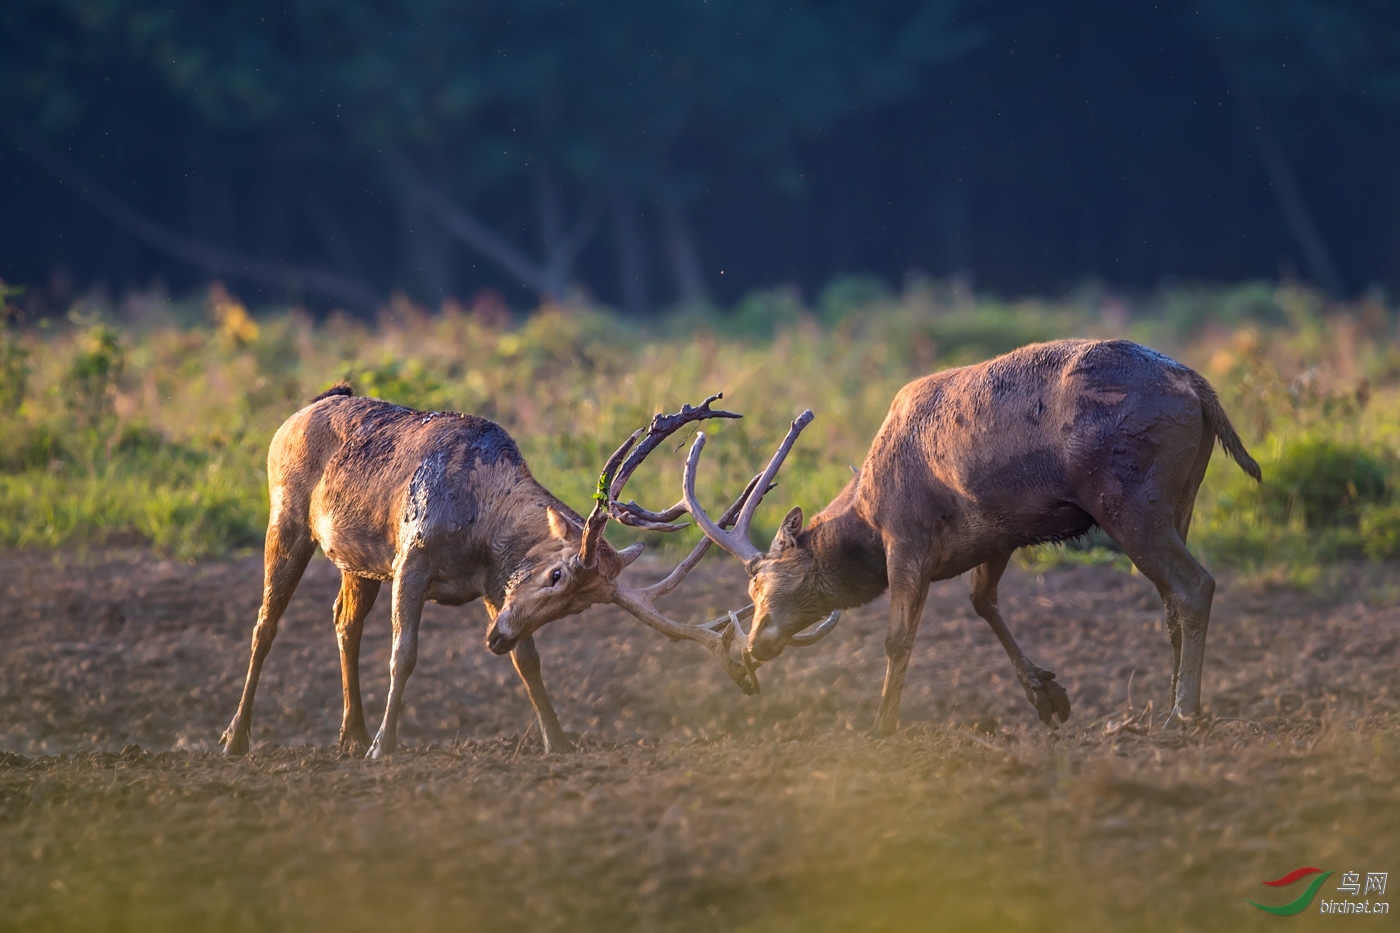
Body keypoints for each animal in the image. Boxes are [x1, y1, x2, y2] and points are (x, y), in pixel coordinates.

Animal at [218, 383, 767, 756]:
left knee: (343, 622)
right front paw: (385, 746)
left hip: (360, 561)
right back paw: (236, 738)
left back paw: (350, 735)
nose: (495, 638)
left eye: (578, 609)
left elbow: (529, 663)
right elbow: (403, 654)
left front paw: (558, 741)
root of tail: (300, 411)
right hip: (286, 518)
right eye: (557, 575)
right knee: (265, 623)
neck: (480, 532)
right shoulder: (411, 556)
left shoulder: (492, 585)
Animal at [649, 337, 1265, 728]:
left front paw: (882, 727)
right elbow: (981, 601)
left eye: (766, 584)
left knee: (1194, 585)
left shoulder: (909, 539)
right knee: (1170, 600)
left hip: (1127, 498)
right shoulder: (998, 532)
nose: (753, 648)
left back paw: (1184, 713)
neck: (867, 521)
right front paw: (1047, 695)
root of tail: (1197, 386)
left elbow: (899, 638)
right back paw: (1170, 705)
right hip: (1181, 496)